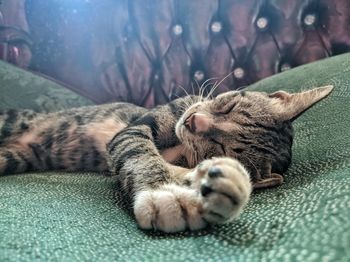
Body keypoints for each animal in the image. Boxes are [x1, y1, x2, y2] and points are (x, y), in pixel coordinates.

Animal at [0, 85, 334, 232]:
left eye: (218, 147)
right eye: (228, 104)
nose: (195, 121)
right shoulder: (137, 126)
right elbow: (139, 151)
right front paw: (161, 192)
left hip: (15, 157)